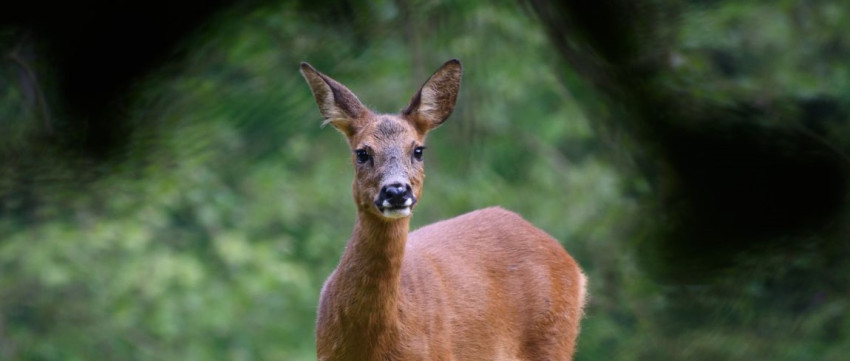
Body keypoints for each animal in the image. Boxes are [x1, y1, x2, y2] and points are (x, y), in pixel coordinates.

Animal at [298, 59, 584, 360]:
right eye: (362, 153)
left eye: (418, 150)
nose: (396, 191)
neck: (372, 344)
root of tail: (573, 267)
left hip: (553, 338)